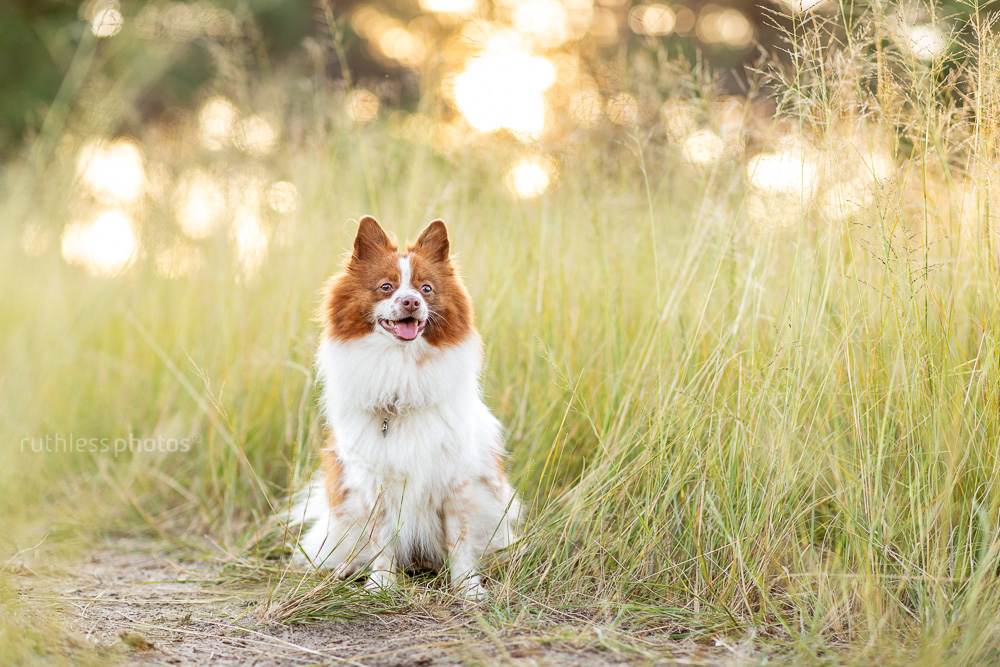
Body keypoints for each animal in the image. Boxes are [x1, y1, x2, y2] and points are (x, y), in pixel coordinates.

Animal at [292, 218, 520, 600]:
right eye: (386, 287)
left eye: (426, 289)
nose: (411, 301)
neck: (401, 373)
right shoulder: (375, 483)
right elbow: (382, 540)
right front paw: (381, 585)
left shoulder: (456, 481)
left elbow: (459, 540)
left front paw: (467, 588)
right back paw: (346, 569)